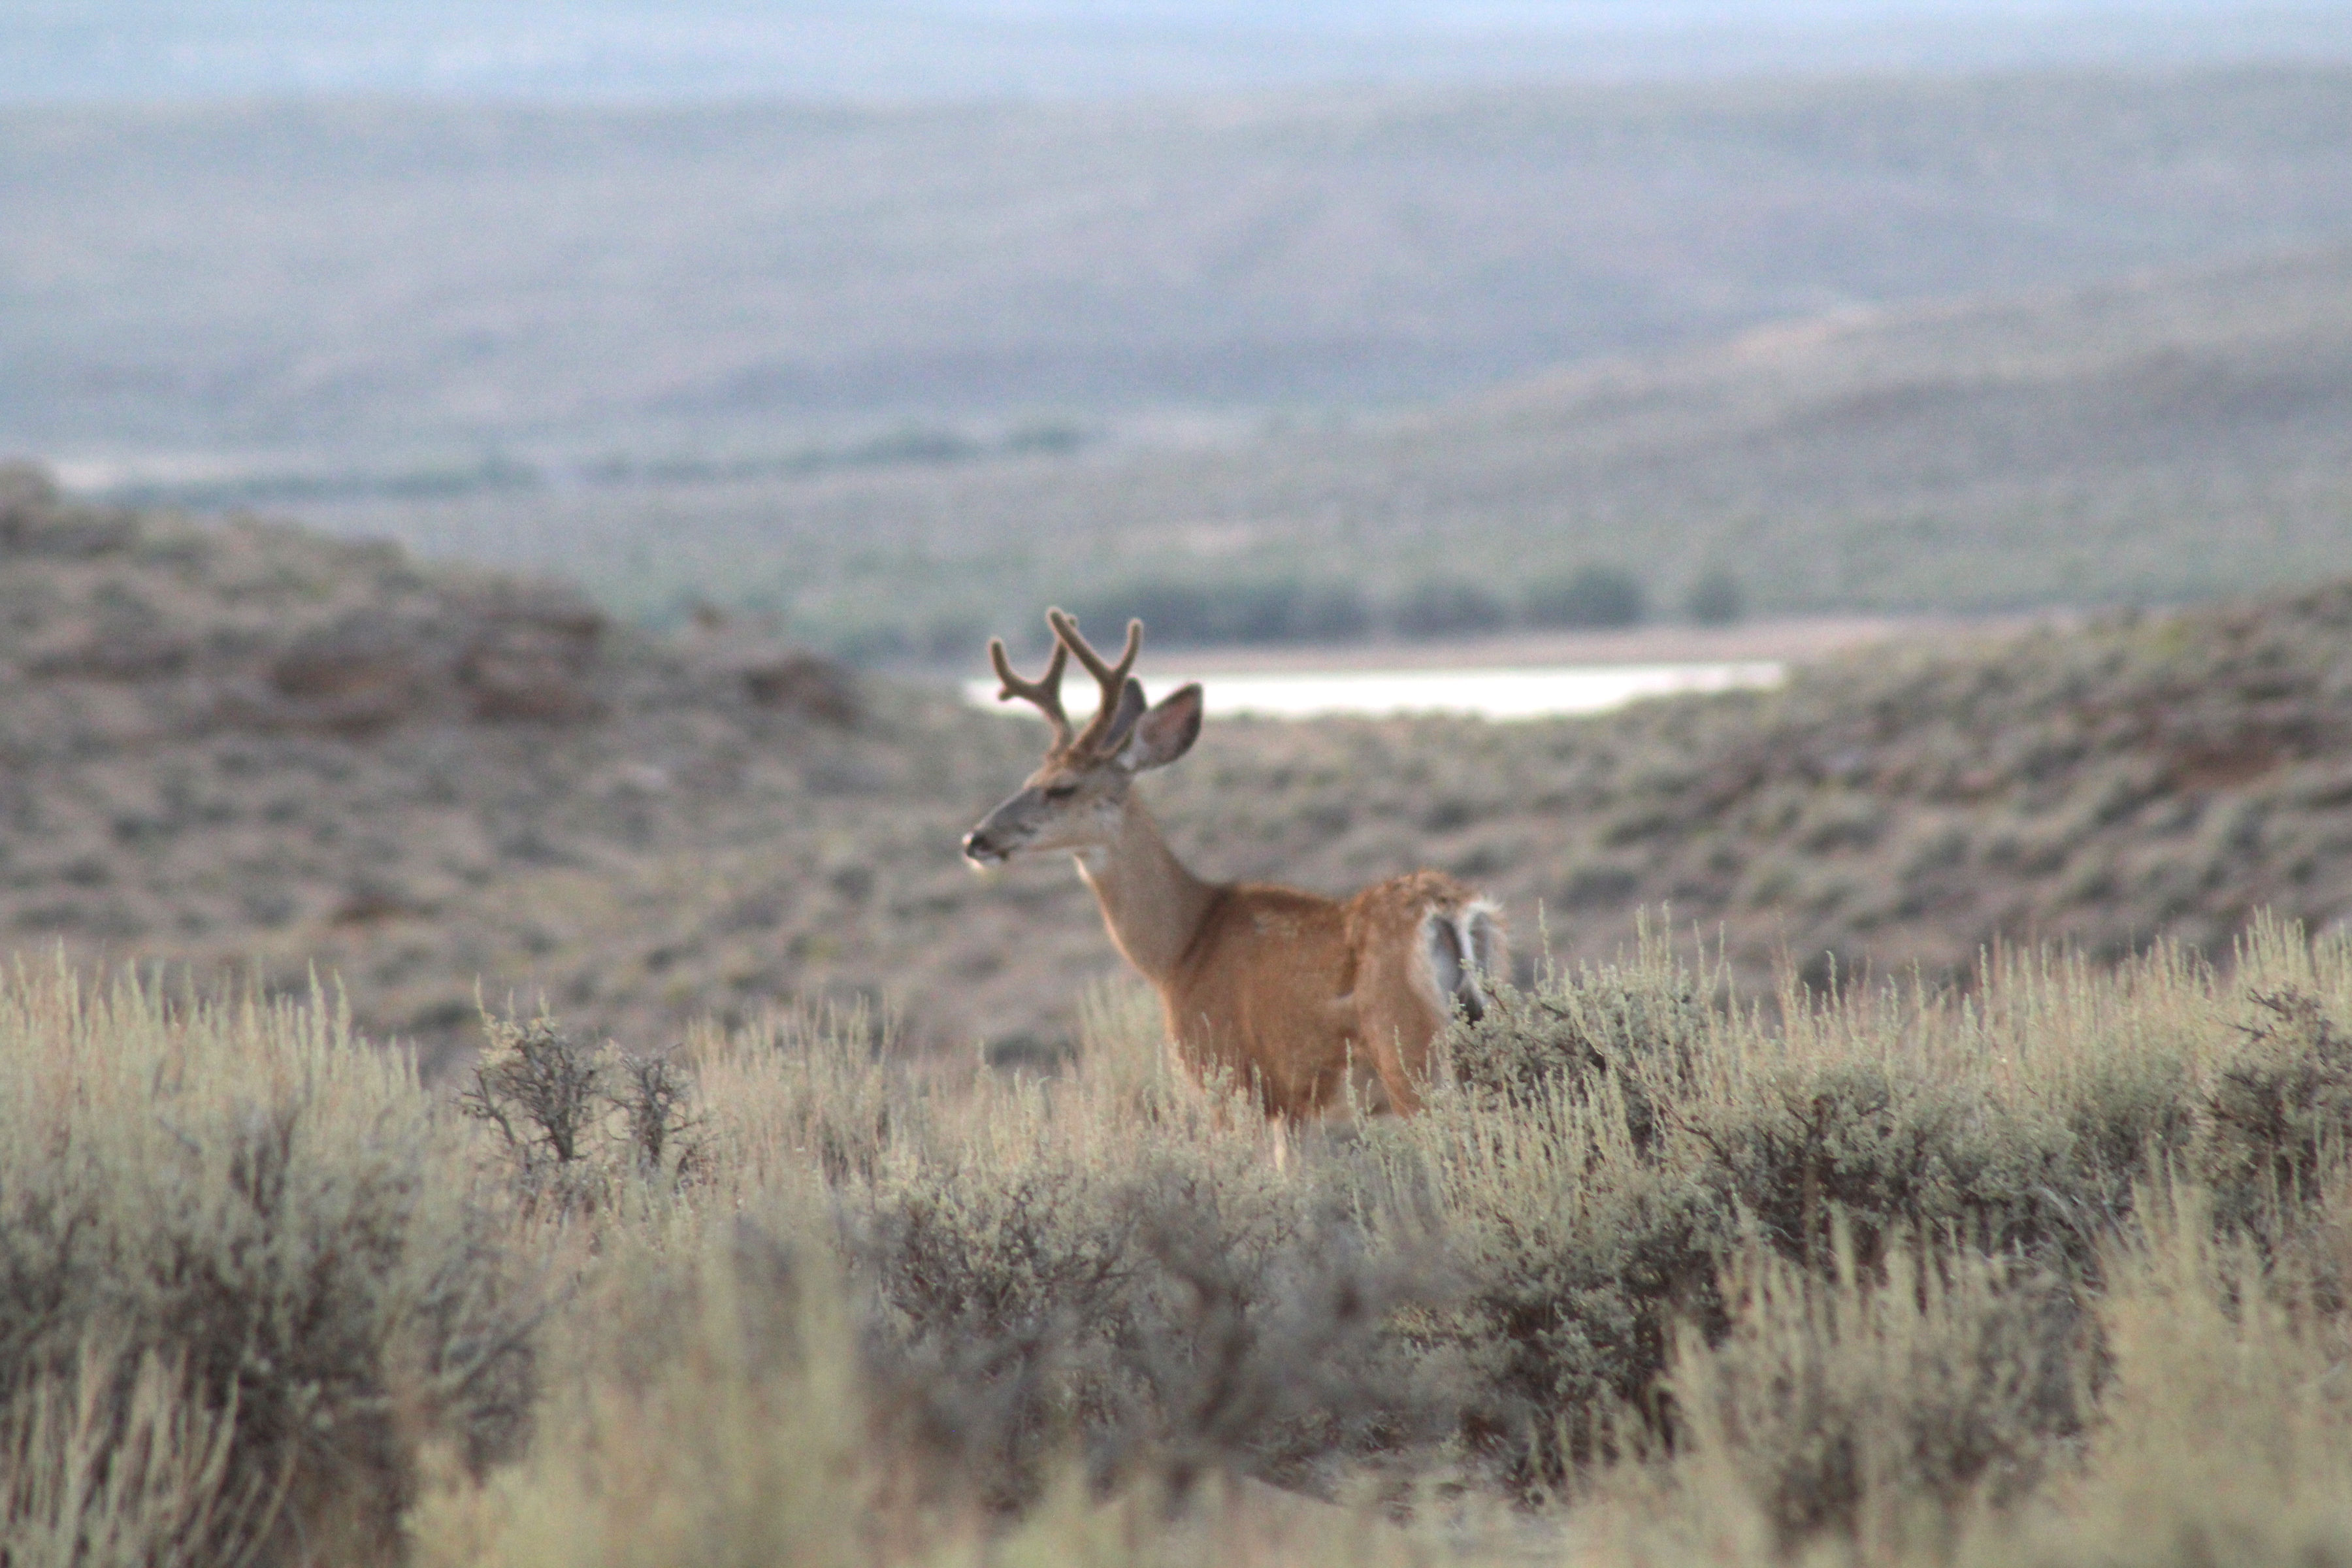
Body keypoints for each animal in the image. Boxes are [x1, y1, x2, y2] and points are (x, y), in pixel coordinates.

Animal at [959, 611, 1495, 1114]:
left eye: (1062, 787)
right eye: (1030, 777)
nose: (976, 839)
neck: (1180, 951)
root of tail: (1447, 912)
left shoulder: (1235, 1081)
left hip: (1409, 1052)